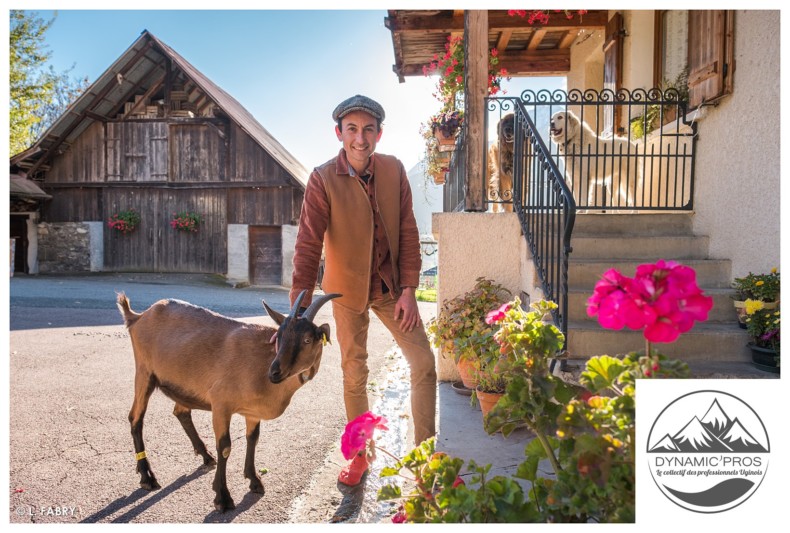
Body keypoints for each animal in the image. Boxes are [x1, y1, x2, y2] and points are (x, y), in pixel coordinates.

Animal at [117, 290, 340, 512]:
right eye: (280, 336)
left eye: (307, 340)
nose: (275, 372)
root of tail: (138, 317)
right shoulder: (221, 403)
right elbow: (225, 446)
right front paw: (222, 497)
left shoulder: (252, 412)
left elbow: (253, 439)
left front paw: (254, 480)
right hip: (144, 372)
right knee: (135, 418)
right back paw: (147, 477)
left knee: (181, 412)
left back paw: (206, 456)